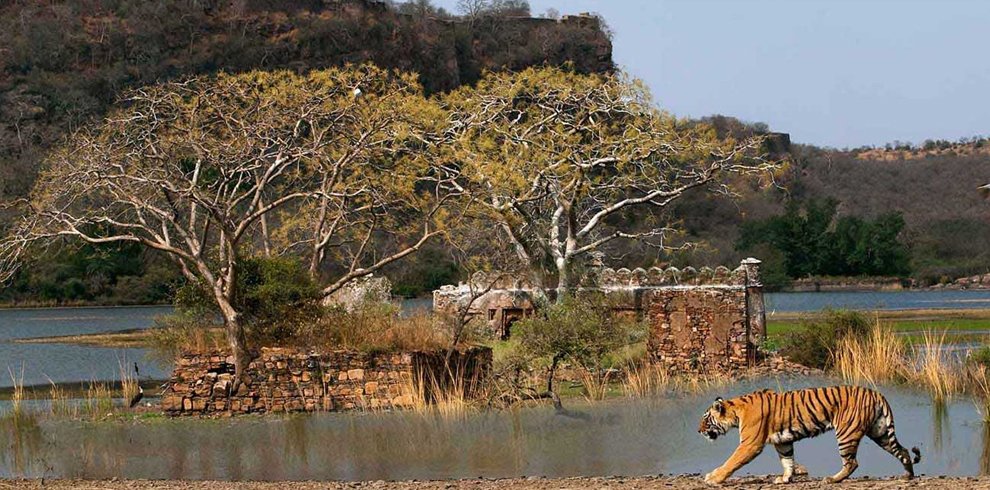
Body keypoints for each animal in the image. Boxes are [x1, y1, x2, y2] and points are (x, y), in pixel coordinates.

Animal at [696, 386, 924, 486]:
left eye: (706, 420)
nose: (698, 431)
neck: (736, 411)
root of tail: (877, 393)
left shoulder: (750, 444)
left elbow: (731, 462)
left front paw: (713, 478)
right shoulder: (783, 441)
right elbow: (787, 460)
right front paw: (785, 479)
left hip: (846, 433)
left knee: (852, 462)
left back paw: (832, 479)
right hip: (880, 432)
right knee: (903, 451)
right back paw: (907, 475)